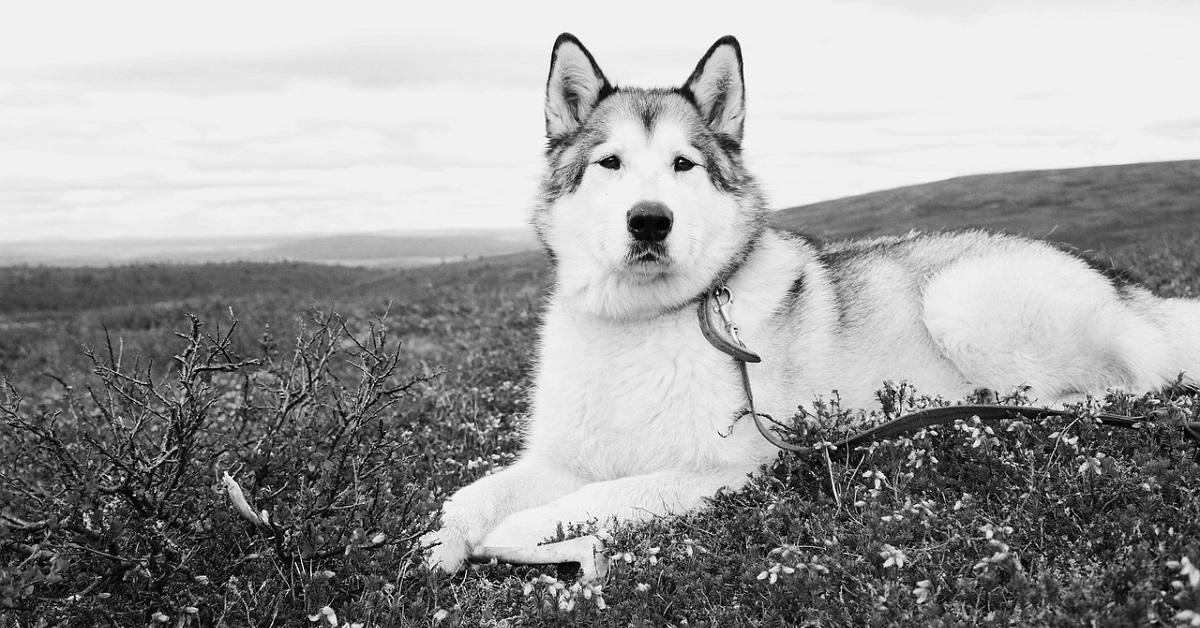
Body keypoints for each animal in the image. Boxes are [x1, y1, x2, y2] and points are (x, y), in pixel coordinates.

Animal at [417, 34, 1195, 573]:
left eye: (682, 165)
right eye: (610, 163)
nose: (649, 222)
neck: (641, 322)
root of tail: (1131, 286)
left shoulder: (718, 470)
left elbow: (564, 509)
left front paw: (519, 541)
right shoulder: (564, 457)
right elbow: (469, 496)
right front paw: (436, 545)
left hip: (963, 298)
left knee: (1121, 389)